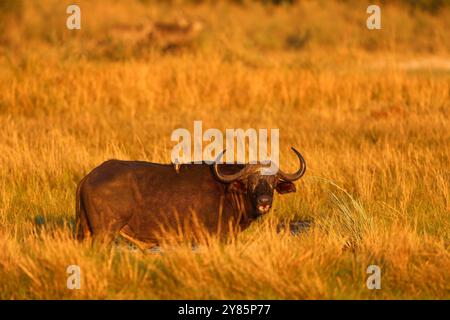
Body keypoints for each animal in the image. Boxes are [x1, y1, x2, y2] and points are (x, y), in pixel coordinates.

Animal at [75, 149, 306, 249]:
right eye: (251, 181)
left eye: (273, 181)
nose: (264, 201)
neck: (229, 192)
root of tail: (89, 177)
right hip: (104, 233)